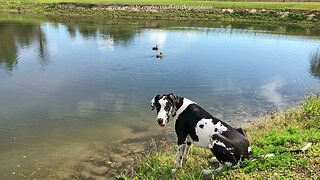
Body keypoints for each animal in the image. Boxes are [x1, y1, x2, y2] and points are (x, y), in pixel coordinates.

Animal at [151, 93, 312, 174]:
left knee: (226, 167)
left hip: (214, 137)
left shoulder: (180, 139)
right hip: (239, 128)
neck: (180, 105)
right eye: (158, 106)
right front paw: (185, 161)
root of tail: (247, 154)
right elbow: (186, 153)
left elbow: (178, 158)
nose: (159, 120)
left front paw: (176, 169)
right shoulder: (188, 139)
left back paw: (209, 171)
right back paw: (214, 159)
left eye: (168, 106)